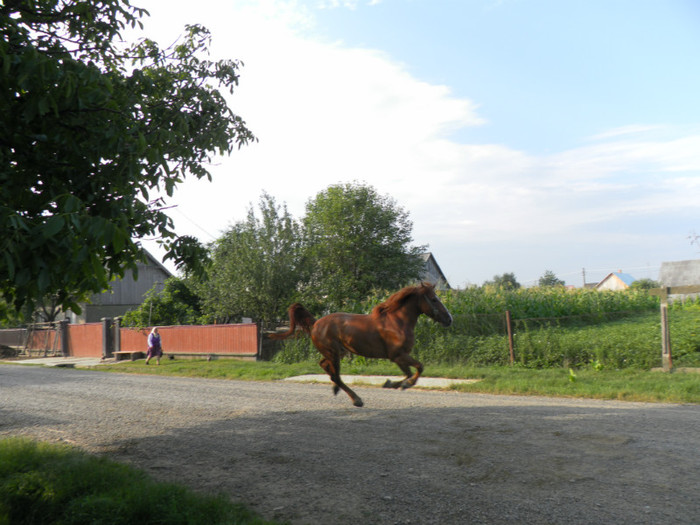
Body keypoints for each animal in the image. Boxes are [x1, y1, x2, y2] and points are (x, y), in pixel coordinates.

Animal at [268, 282, 454, 406]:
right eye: (433, 299)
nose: (449, 319)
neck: (397, 322)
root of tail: (315, 324)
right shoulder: (397, 356)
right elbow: (416, 370)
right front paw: (397, 384)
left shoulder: (401, 357)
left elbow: (412, 371)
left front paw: (395, 384)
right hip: (334, 353)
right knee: (335, 375)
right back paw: (356, 399)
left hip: (338, 352)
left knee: (325, 366)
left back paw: (336, 389)